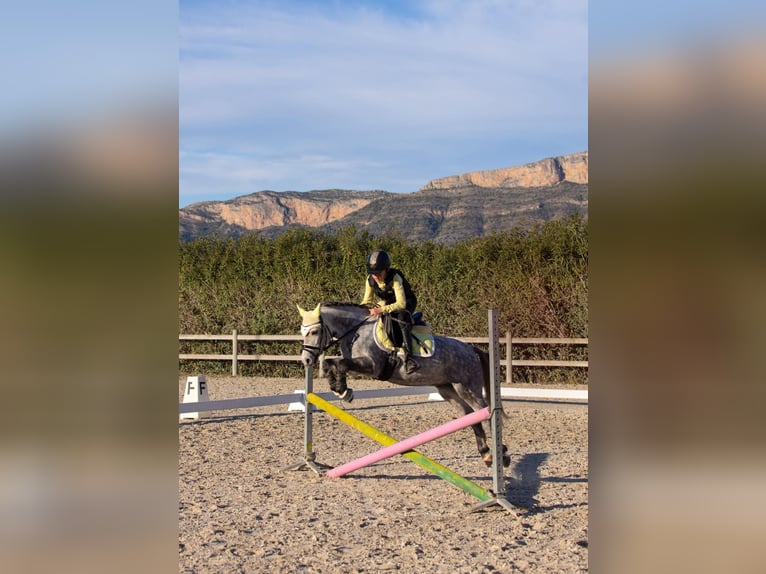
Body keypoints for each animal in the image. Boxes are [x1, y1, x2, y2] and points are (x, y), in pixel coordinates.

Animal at [297, 302, 510, 467]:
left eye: (314, 331)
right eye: (302, 331)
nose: (306, 360)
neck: (355, 330)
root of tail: (471, 349)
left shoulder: (373, 365)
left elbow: (338, 363)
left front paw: (342, 390)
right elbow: (331, 363)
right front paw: (340, 389)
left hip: (467, 388)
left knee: (484, 410)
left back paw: (502, 454)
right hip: (447, 389)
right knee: (469, 415)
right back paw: (486, 453)